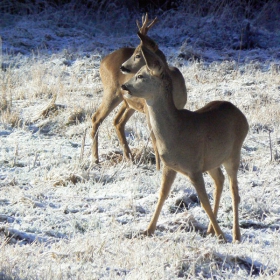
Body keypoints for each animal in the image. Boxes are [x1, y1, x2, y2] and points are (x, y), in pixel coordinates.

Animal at [92, 13, 187, 171]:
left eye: (137, 54)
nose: (123, 67)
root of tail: (103, 61)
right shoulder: (149, 110)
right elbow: (155, 139)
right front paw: (158, 168)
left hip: (128, 102)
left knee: (117, 122)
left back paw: (129, 157)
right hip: (111, 92)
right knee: (96, 117)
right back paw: (95, 159)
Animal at [121, 42, 248, 243]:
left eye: (141, 75)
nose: (124, 86)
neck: (175, 132)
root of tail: (243, 116)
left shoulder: (194, 167)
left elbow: (203, 202)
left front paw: (222, 236)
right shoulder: (169, 165)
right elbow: (162, 195)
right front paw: (148, 230)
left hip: (234, 153)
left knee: (234, 191)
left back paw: (235, 235)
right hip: (213, 160)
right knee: (219, 181)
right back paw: (211, 229)